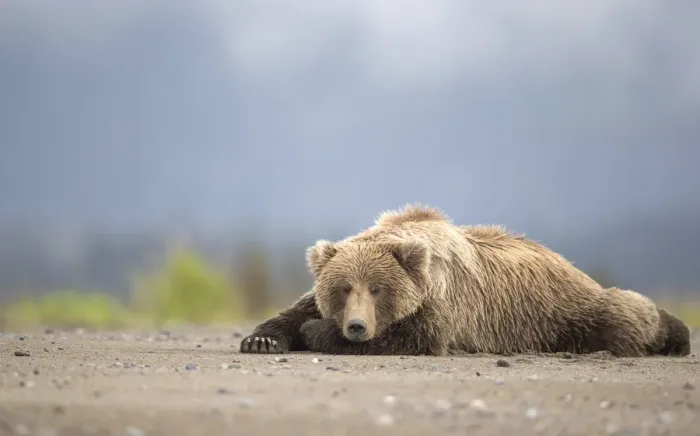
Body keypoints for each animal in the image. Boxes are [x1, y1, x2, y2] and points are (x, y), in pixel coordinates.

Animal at [239, 204, 690, 357]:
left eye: (378, 289)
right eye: (343, 288)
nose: (356, 326)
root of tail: (569, 263)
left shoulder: (445, 301)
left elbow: (415, 337)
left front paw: (316, 331)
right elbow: (292, 312)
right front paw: (262, 340)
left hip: (568, 309)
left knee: (623, 314)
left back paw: (676, 336)